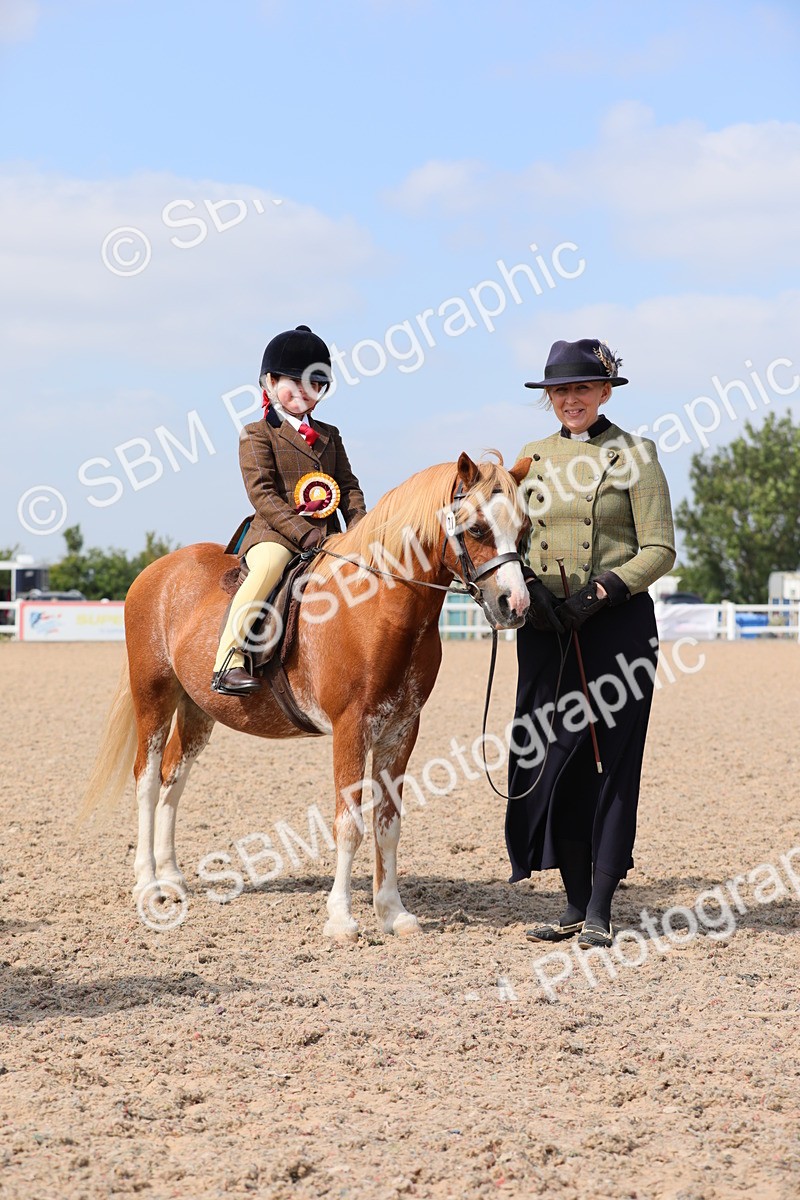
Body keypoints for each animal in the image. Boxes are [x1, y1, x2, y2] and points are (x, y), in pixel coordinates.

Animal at [81, 451, 532, 942]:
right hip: (154, 696)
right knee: (146, 781)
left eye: (525, 529)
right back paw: (148, 885)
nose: (515, 606)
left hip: (197, 710)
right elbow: (349, 824)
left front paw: (393, 913)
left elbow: (388, 824)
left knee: (171, 779)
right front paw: (341, 919)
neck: (377, 605)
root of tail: (156, 572)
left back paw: (172, 878)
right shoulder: (351, 728)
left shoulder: (400, 731)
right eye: (477, 529)